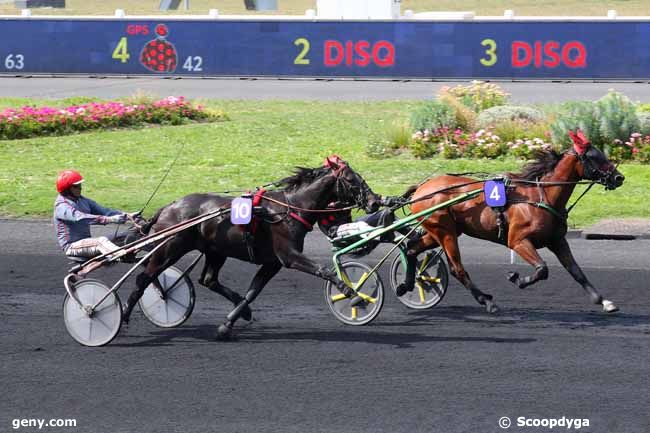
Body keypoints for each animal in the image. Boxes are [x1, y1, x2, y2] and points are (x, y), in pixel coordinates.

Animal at [121, 155, 380, 338]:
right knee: (144, 279)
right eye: (351, 179)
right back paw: (123, 316)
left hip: (216, 251)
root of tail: (167, 207)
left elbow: (253, 291)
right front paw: (352, 294)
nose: (374, 201)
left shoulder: (273, 262)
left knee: (208, 279)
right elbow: (324, 270)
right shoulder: (289, 256)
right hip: (169, 250)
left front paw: (229, 323)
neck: (289, 208)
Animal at [398, 130, 624, 312]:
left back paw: (406, 285)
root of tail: (422, 188)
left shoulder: (557, 241)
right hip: (444, 231)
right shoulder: (518, 240)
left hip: (442, 230)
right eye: (594, 157)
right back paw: (487, 301)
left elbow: (576, 271)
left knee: (411, 248)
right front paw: (517, 279)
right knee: (457, 269)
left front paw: (604, 301)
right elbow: (542, 269)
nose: (619, 178)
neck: (540, 196)